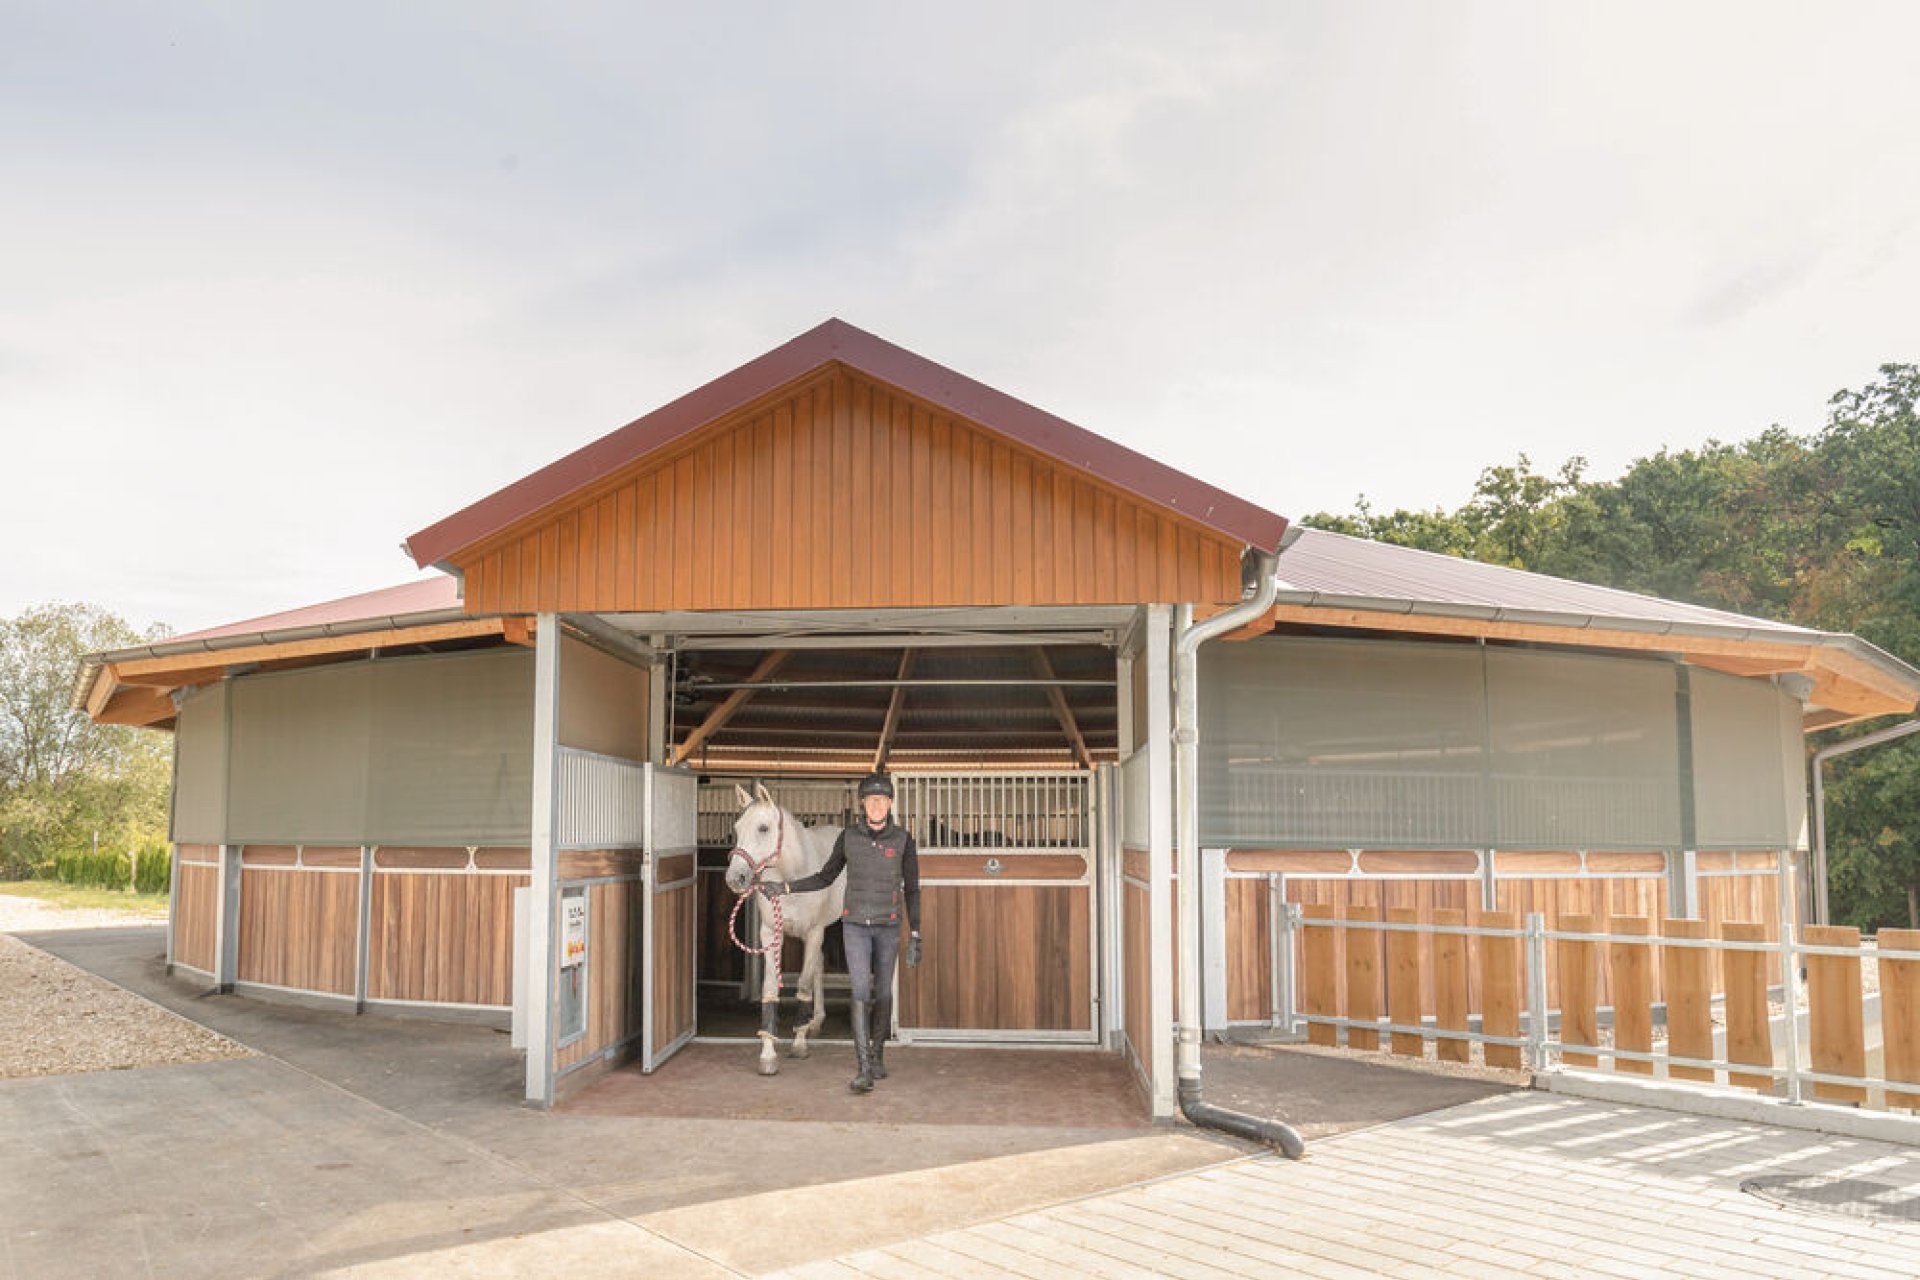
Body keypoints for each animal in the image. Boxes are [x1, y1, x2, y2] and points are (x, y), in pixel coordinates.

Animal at [721, 786, 844, 1074]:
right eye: (737, 827)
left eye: (763, 828)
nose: (735, 879)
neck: (794, 877)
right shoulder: (770, 935)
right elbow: (770, 988)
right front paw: (768, 1055)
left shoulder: (814, 932)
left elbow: (803, 984)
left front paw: (799, 1044)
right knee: (819, 967)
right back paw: (815, 1021)